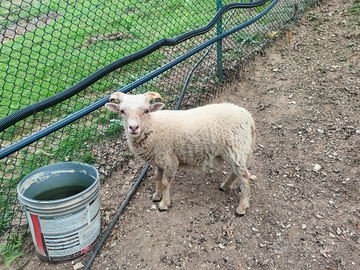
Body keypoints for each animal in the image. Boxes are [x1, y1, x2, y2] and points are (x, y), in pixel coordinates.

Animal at [105, 92, 256, 216]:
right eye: (122, 111)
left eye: (146, 110)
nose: (133, 128)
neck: (152, 126)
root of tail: (249, 118)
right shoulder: (159, 160)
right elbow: (157, 178)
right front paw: (156, 196)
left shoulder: (169, 160)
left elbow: (165, 183)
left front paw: (163, 204)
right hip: (235, 153)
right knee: (236, 173)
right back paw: (225, 186)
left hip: (235, 150)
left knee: (245, 178)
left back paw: (241, 208)